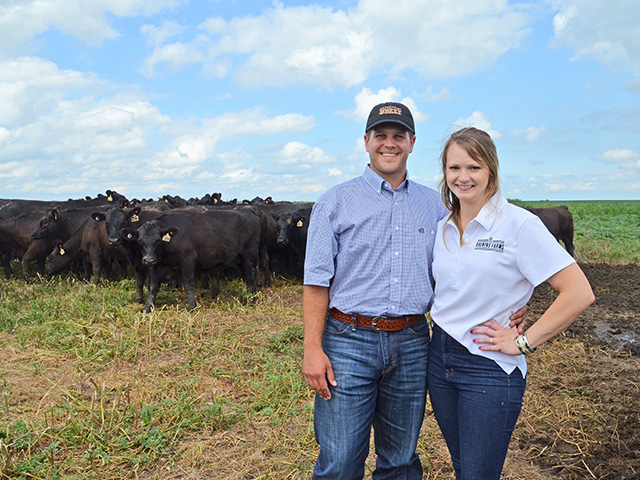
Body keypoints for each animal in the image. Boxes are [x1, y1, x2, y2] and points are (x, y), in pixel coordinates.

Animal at [120, 208, 260, 314]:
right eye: (140, 242)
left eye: (158, 240)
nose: (148, 260)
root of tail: (247, 211)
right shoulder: (156, 265)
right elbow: (153, 286)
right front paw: (147, 307)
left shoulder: (188, 259)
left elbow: (188, 283)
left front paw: (191, 306)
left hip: (249, 256)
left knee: (250, 276)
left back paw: (251, 299)